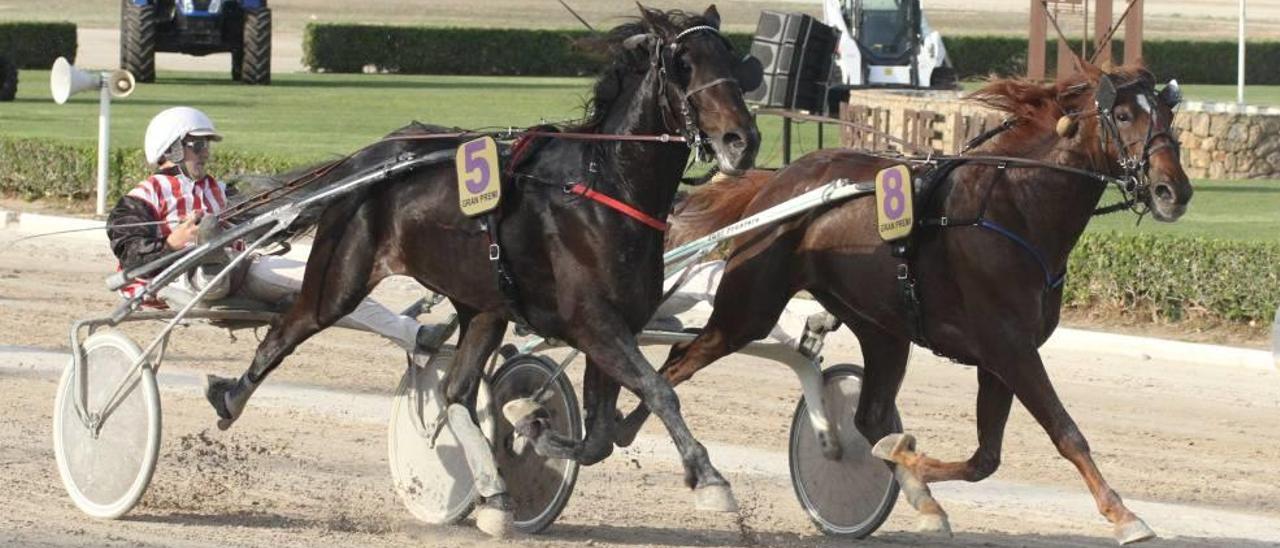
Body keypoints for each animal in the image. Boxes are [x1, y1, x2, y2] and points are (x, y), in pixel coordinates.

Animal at [203, 3, 752, 535]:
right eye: (684, 64)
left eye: (733, 59)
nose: (741, 140)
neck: (605, 189)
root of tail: (365, 159)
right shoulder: (592, 324)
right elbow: (658, 391)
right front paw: (710, 479)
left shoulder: (618, 327)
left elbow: (599, 437)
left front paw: (535, 429)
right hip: (340, 278)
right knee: (286, 329)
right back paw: (229, 398)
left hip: (482, 306)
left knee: (456, 394)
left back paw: (495, 497)